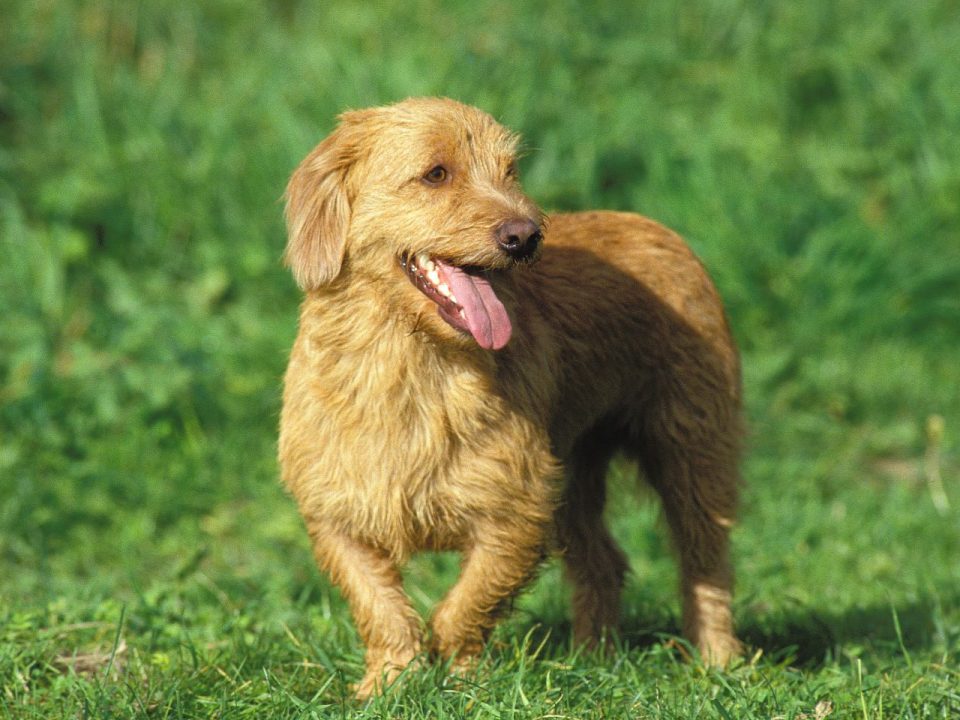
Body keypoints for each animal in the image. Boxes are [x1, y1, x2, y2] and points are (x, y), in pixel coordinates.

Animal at [278, 97, 744, 696]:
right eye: (436, 173)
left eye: (510, 172)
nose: (524, 236)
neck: (413, 365)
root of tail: (655, 227)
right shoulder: (336, 515)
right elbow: (381, 609)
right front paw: (389, 683)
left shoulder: (518, 509)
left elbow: (465, 605)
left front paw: (462, 680)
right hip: (575, 476)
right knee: (604, 562)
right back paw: (592, 661)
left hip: (691, 454)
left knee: (705, 562)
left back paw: (718, 663)